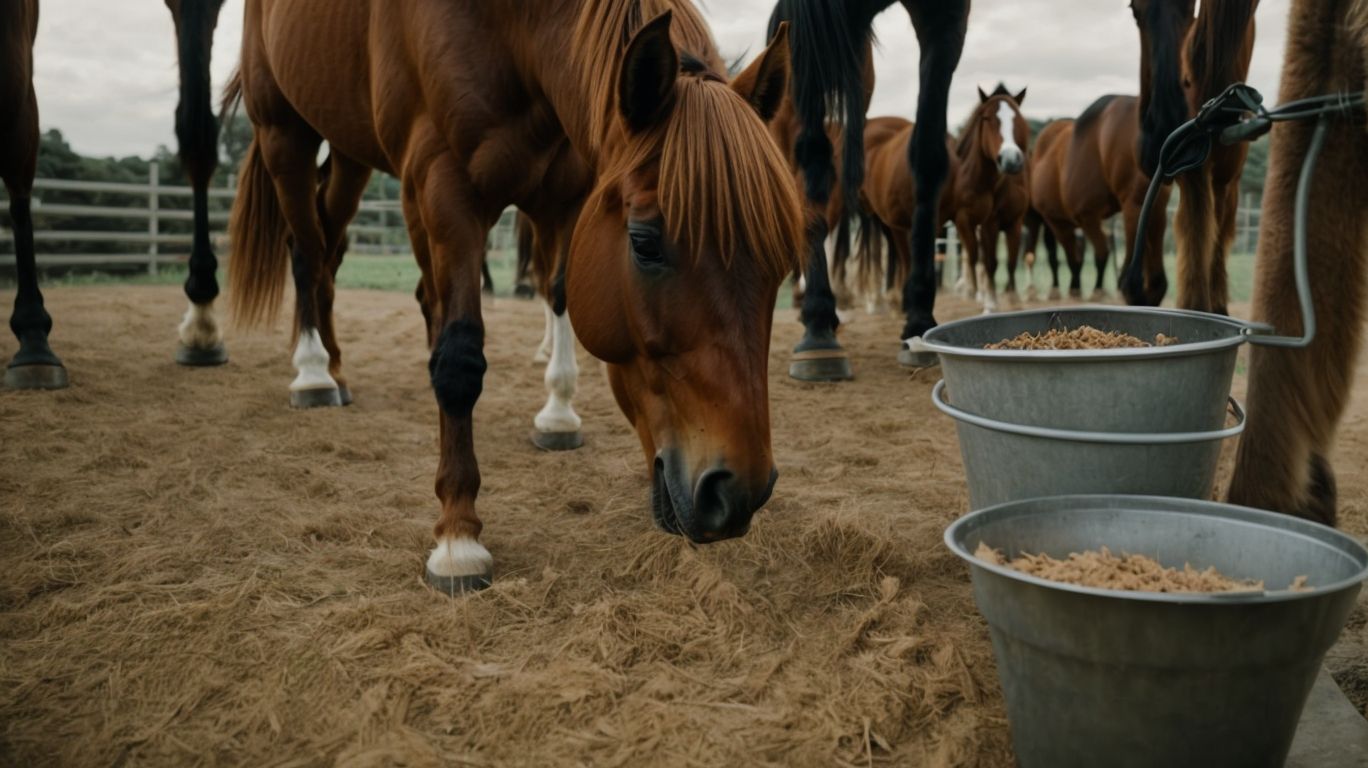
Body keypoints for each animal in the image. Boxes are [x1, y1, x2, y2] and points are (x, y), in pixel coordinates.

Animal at [225, 0, 803, 593]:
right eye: (644, 243)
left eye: (785, 256)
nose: (737, 492)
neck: (510, 31)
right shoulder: (444, 187)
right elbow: (460, 357)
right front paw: (458, 536)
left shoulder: (569, 197)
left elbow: (557, 294)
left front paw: (558, 415)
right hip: (284, 134)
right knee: (307, 251)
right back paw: (313, 372)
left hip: (349, 154)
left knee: (340, 252)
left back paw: (338, 368)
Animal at [769, 0, 970, 376]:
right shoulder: (804, 26)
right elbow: (813, 155)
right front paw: (817, 329)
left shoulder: (944, 15)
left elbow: (927, 153)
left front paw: (919, 320)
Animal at [944, 84, 1029, 313]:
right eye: (987, 118)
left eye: (1019, 118)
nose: (1011, 159)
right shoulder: (987, 222)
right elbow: (989, 261)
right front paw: (990, 301)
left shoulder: (1015, 221)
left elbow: (1011, 261)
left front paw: (1013, 298)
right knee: (976, 256)